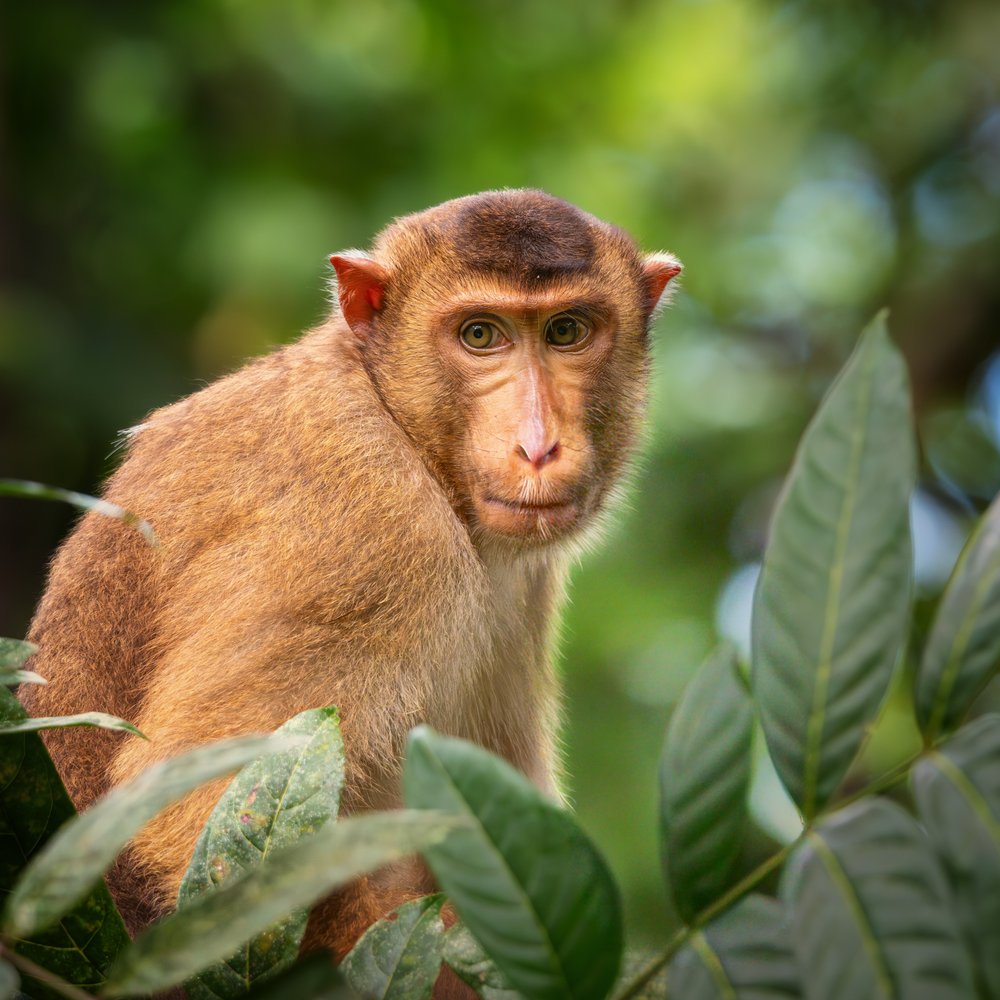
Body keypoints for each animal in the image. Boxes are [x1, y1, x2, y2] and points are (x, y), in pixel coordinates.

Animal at [19, 189, 681, 991]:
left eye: (566, 331)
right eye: (480, 335)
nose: (537, 446)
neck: (394, 412)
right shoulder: (364, 533)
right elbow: (193, 831)